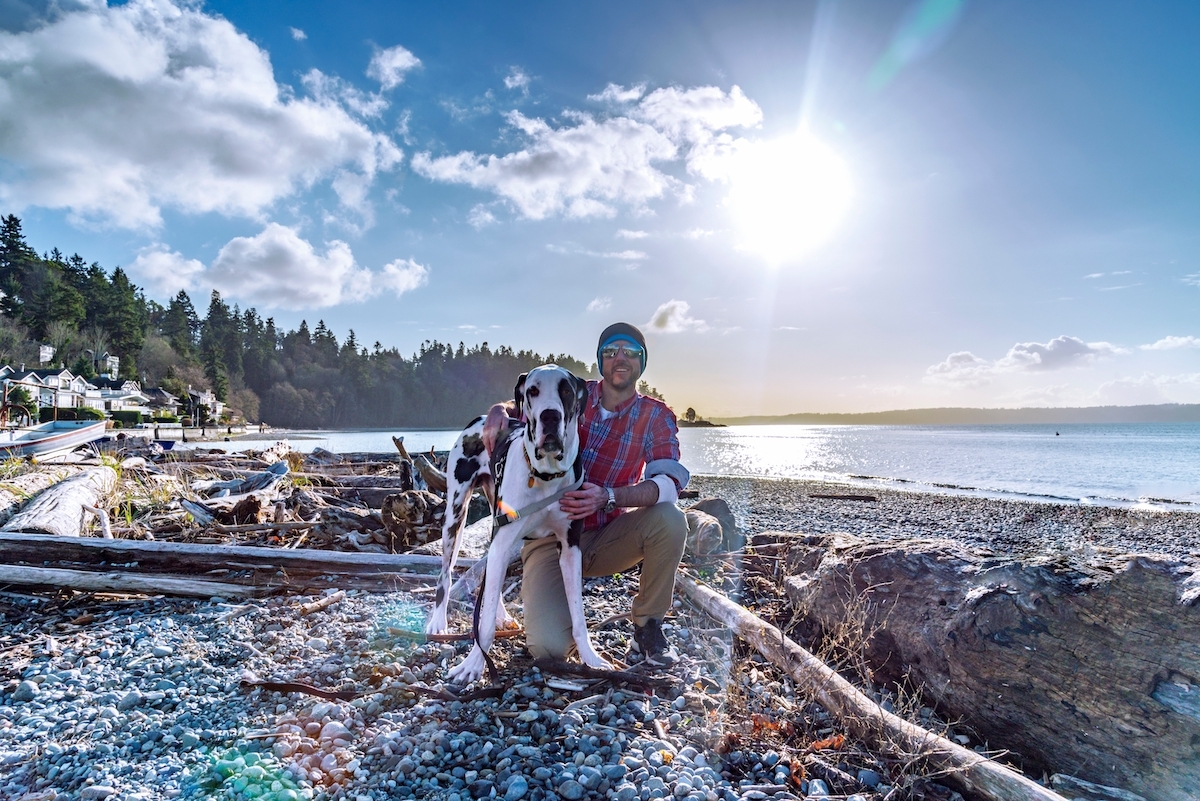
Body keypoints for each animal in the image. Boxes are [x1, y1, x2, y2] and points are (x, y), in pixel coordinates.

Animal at [424, 362, 609, 681]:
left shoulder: (570, 547)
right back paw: (438, 621)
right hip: (456, 515)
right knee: (446, 573)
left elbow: (578, 615)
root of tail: (479, 418)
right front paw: (474, 664)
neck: (546, 474)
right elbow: (483, 625)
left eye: (566, 390)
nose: (550, 416)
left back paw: (500, 614)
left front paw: (591, 657)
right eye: (532, 390)